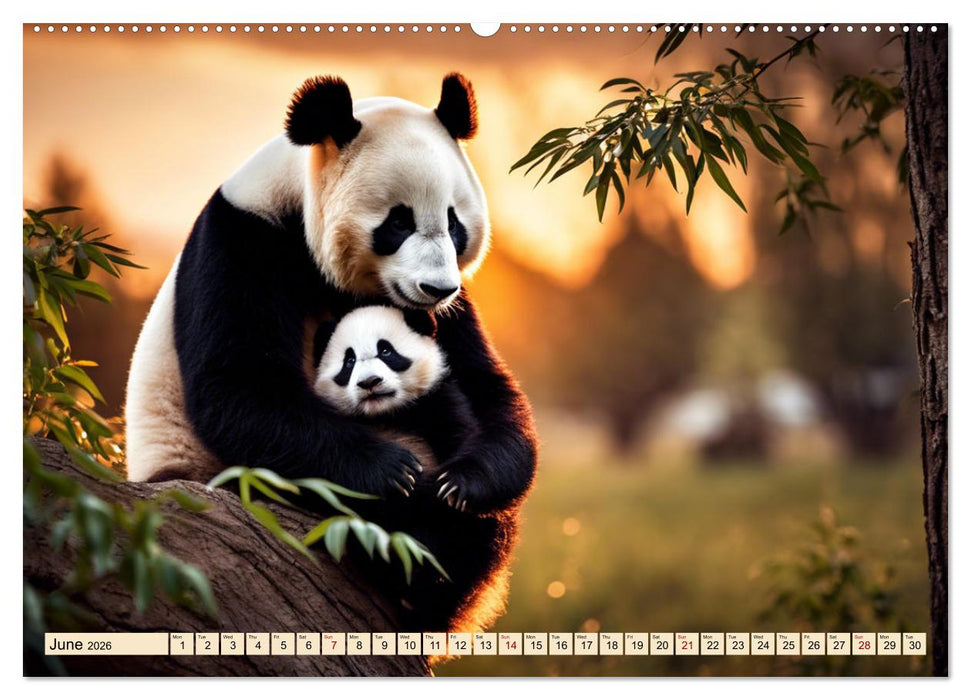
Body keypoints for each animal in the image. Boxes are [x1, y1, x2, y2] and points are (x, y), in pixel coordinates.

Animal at [125, 73, 538, 630]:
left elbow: (484, 386)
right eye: (398, 223)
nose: (436, 288)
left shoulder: (450, 313)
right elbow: (241, 389)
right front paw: (393, 472)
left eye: (455, 224)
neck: (296, 202)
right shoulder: (243, 242)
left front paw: (464, 483)